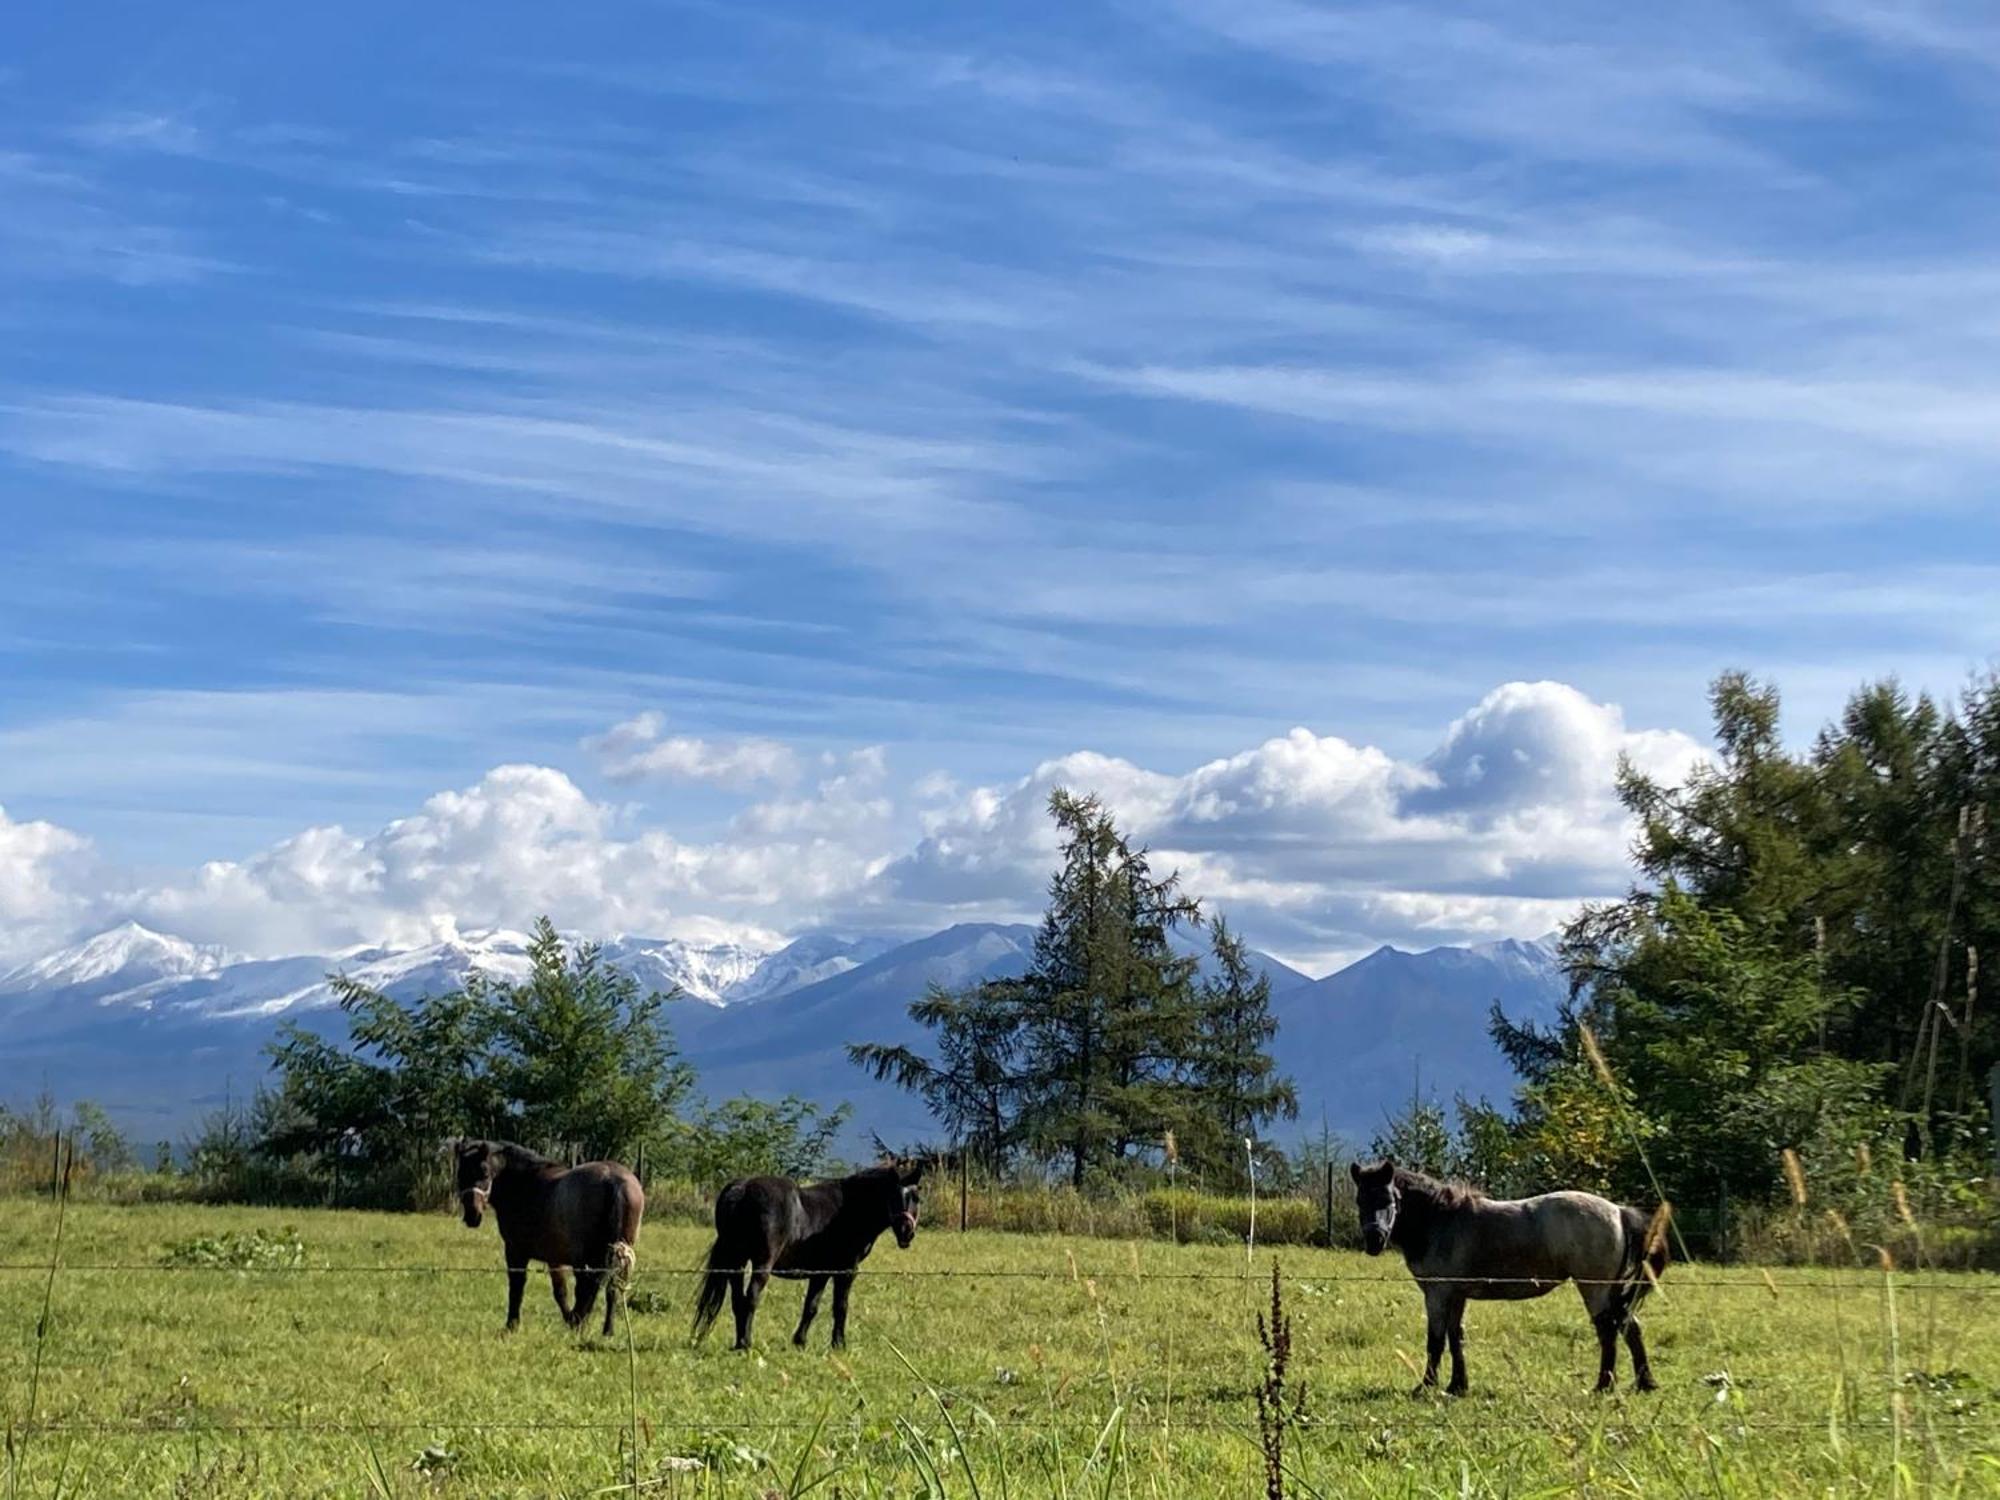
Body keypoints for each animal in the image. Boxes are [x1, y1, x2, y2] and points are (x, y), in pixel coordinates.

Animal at [456, 1136, 644, 1336]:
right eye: (460, 1175)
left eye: (484, 1173)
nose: (472, 1215)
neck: (525, 1184)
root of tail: (613, 1180)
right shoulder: (555, 1259)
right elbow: (560, 1291)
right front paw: (570, 1319)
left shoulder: (515, 1252)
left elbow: (517, 1287)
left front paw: (512, 1325)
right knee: (610, 1289)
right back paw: (605, 1330)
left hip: (586, 1259)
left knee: (588, 1288)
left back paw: (580, 1323)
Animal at [692, 1160, 924, 1360]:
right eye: (893, 1197)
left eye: (916, 1198)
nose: (906, 1232)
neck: (850, 1209)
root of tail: (741, 1189)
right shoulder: (847, 1270)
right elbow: (840, 1306)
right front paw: (839, 1344)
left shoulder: (821, 1271)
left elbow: (811, 1307)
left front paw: (800, 1341)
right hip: (761, 1263)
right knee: (751, 1298)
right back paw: (746, 1344)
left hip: (736, 1262)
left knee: (737, 1300)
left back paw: (739, 1343)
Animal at [1352, 1160, 1664, 1400]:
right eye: (1360, 1201)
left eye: (1389, 1199)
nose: (1374, 1240)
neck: (1440, 1220)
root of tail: (1618, 1212)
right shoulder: (1456, 1294)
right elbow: (1456, 1338)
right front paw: (1457, 1386)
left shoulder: (1438, 1294)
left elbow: (1436, 1341)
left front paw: (1425, 1386)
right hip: (1611, 1291)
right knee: (1629, 1326)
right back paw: (1644, 1383)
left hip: (1594, 1289)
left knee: (1608, 1330)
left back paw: (1603, 1385)